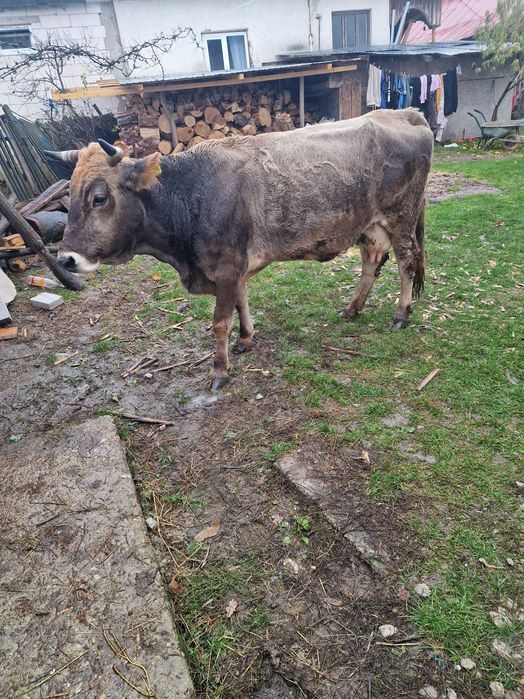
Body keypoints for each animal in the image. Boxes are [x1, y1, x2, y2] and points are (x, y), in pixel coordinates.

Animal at [47, 108, 433, 390]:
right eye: (69, 195)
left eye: (99, 198)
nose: (67, 258)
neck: (191, 193)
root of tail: (405, 113)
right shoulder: (235, 268)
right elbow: (241, 303)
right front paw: (247, 339)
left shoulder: (227, 267)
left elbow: (220, 322)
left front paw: (219, 372)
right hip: (369, 227)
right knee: (371, 263)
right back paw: (353, 309)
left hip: (401, 218)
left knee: (406, 263)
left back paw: (401, 314)